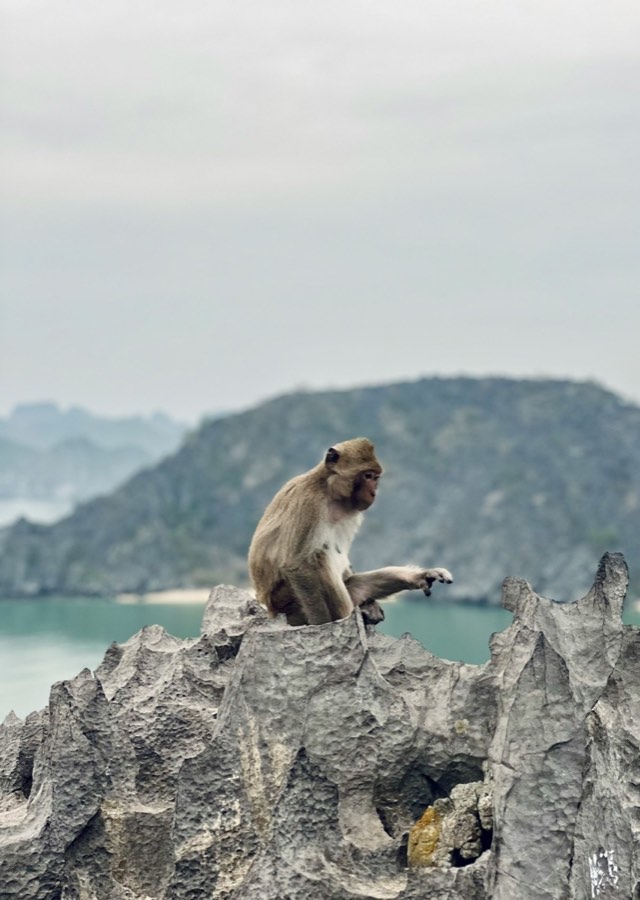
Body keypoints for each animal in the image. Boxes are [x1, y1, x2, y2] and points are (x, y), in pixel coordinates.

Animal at [248, 437, 453, 627]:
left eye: (376, 477)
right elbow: (297, 564)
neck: (329, 491)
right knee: (320, 557)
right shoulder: (309, 503)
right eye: (368, 476)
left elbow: (346, 569)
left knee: (355, 585)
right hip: (287, 602)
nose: (373, 492)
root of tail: (270, 608)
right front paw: (322, 624)